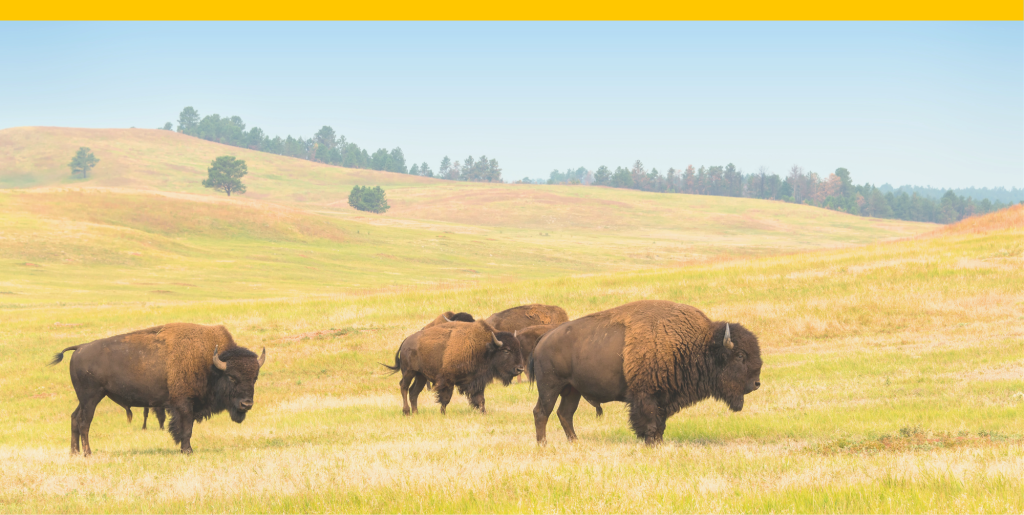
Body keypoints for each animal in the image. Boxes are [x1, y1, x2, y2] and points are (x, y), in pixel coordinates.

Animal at [50, 323, 266, 455]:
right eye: (231, 377)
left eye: (254, 378)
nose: (246, 404)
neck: (211, 364)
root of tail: (80, 348)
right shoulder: (184, 404)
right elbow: (186, 429)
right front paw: (187, 451)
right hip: (91, 398)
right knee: (84, 423)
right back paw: (87, 453)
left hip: (85, 399)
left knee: (74, 418)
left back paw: (74, 452)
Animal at [382, 319, 524, 415]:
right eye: (506, 350)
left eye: (518, 348)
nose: (520, 369)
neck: (485, 348)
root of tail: (405, 342)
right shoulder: (447, 381)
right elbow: (445, 399)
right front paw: (442, 413)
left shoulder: (477, 381)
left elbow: (480, 399)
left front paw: (483, 412)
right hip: (409, 372)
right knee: (404, 387)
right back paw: (406, 412)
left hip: (421, 376)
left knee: (413, 392)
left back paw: (416, 412)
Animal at [529, 300, 762, 444]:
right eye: (740, 355)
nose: (756, 383)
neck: (696, 344)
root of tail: (544, 338)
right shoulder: (645, 395)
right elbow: (649, 422)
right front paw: (651, 442)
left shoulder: (664, 398)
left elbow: (660, 423)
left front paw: (658, 442)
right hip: (550, 386)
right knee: (542, 412)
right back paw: (543, 445)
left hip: (572, 390)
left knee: (565, 414)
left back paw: (575, 442)